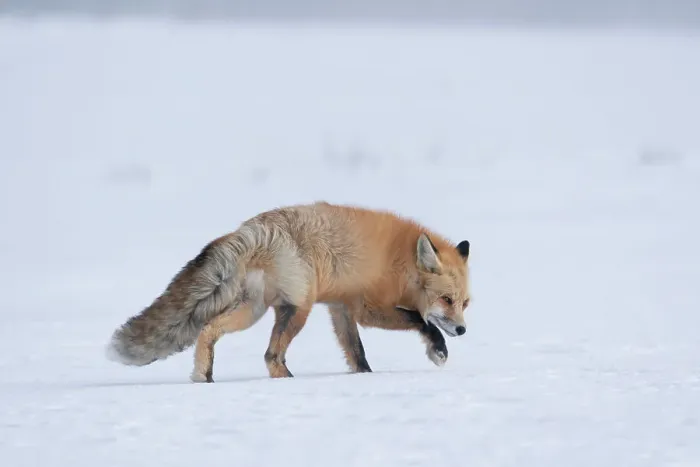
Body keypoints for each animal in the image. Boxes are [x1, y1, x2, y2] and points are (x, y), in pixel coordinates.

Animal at [106, 201, 472, 382]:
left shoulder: (340, 308)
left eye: (466, 303)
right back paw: (286, 383)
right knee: (271, 355)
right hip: (296, 309)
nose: (462, 330)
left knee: (209, 330)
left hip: (252, 310)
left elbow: (357, 353)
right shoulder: (367, 308)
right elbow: (420, 321)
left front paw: (363, 380)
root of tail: (252, 229)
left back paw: (203, 376)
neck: (400, 264)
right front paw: (438, 349)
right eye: (446, 300)